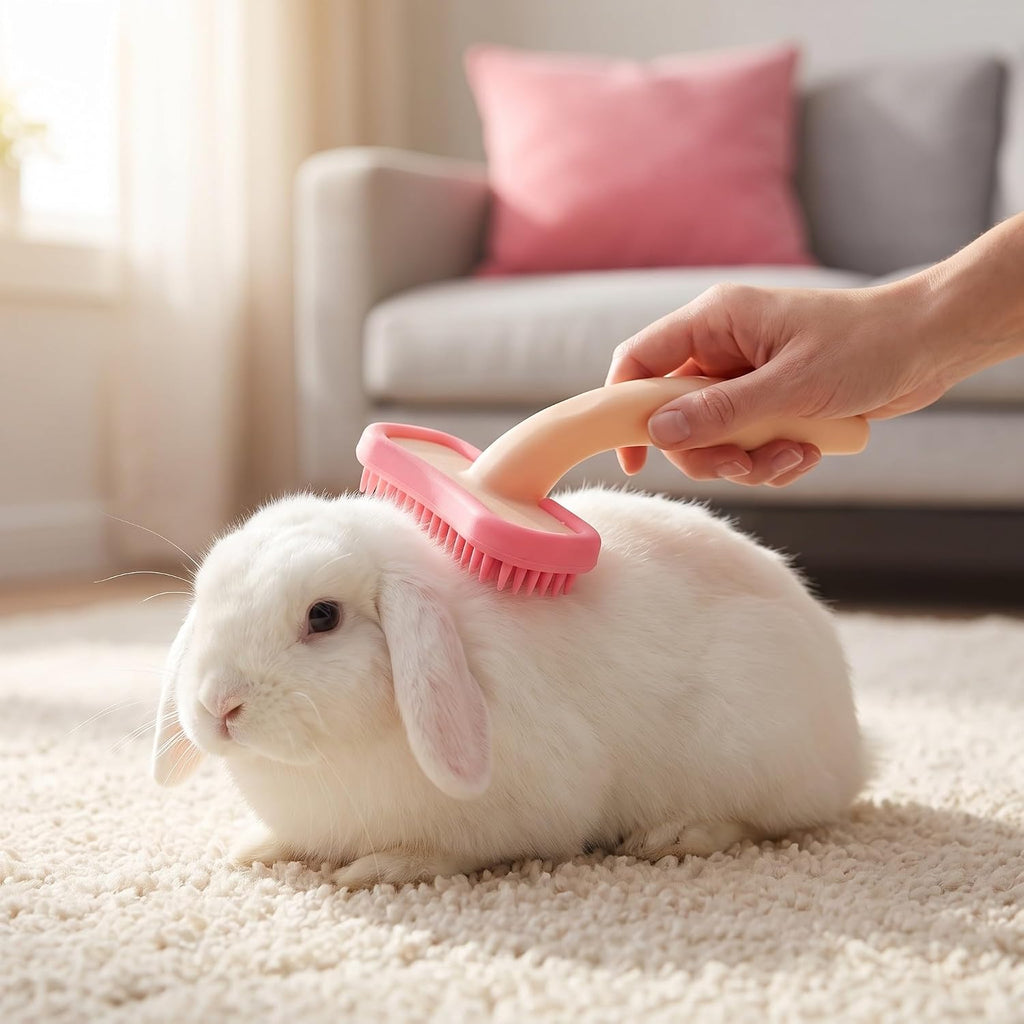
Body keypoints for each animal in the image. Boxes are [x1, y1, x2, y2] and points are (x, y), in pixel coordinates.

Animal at [152, 486, 869, 889]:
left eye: (322, 616)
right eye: (205, 598)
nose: (219, 704)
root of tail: (855, 749)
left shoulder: (519, 815)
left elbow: (447, 852)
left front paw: (382, 869)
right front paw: (254, 847)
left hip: (752, 751)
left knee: (764, 820)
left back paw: (677, 835)